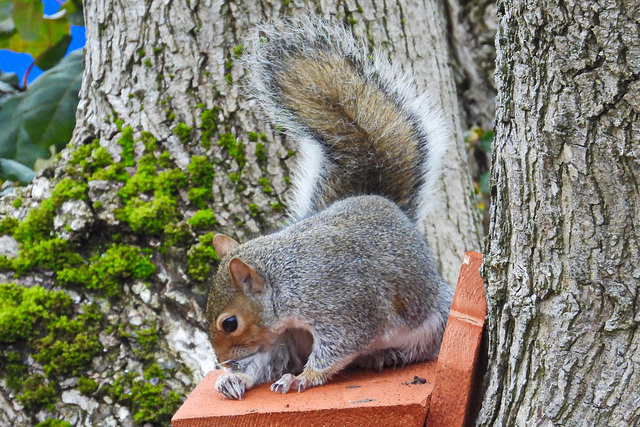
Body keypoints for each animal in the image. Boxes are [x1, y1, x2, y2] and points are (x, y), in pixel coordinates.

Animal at [208, 14, 452, 402]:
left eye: (229, 323)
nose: (223, 362)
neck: (286, 282)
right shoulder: (281, 336)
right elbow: (265, 361)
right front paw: (236, 379)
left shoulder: (346, 306)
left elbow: (338, 347)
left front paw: (302, 379)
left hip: (434, 318)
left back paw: (387, 355)